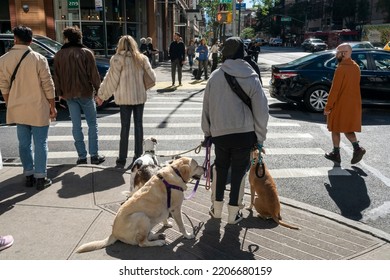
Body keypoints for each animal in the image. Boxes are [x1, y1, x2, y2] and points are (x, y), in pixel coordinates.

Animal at [75, 156, 204, 253]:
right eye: (197, 165)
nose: (204, 167)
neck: (175, 172)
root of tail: (113, 233)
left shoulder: (166, 208)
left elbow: (164, 217)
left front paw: (166, 223)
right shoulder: (176, 209)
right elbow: (182, 225)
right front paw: (187, 235)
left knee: (145, 236)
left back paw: (157, 235)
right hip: (141, 217)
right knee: (142, 243)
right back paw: (158, 242)